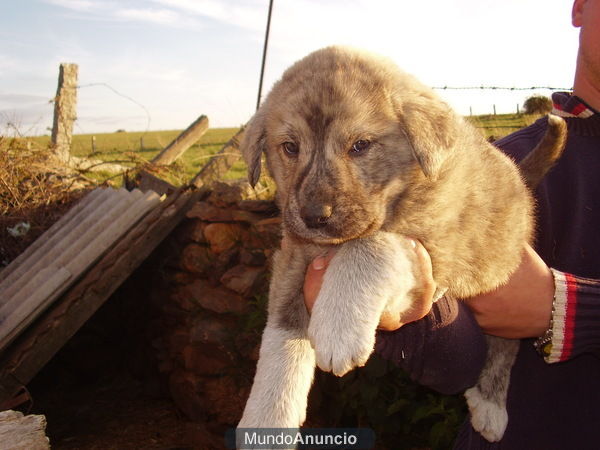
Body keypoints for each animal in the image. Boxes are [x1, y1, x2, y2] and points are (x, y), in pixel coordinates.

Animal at [236, 46, 568, 442]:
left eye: (360, 145)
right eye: (290, 147)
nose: (315, 216)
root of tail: (517, 174)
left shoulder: (431, 247)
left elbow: (369, 246)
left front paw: (338, 327)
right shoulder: (295, 256)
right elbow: (281, 335)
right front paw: (266, 418)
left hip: (499, 272)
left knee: (508, 342)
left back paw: (491, 404)